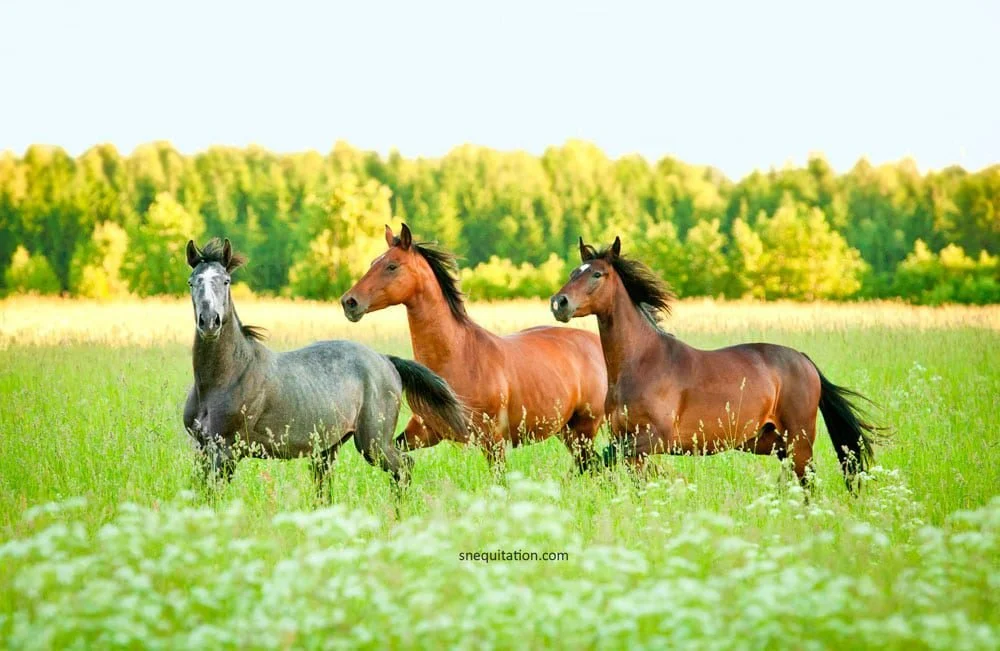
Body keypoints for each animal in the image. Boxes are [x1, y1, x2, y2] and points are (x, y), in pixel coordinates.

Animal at [182, 238, 468, 497]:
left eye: (225, 281)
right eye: (192, 282)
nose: (209, 322)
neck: (226, 377)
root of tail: (386, 360)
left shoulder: (226, 450)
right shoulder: (203, 449)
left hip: (374, 443)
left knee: (404, 467)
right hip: (328, 448)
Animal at [339, 224, 608, 472]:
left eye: (392, 266)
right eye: (373, 262)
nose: (349, 302)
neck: (459, 356)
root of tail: (596, 343)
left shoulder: (492, 440)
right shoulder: (424, 431)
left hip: (584, 428)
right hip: (567, 431)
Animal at [550, 236, 882, 491]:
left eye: (597, 274)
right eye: (573, 271)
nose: (559, 303)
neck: (642, 363)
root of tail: (804, 360)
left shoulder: (654, 439)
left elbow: (599, 459)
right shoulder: (628, 441)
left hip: (799, 440)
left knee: (808, 482)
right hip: (771, 442)